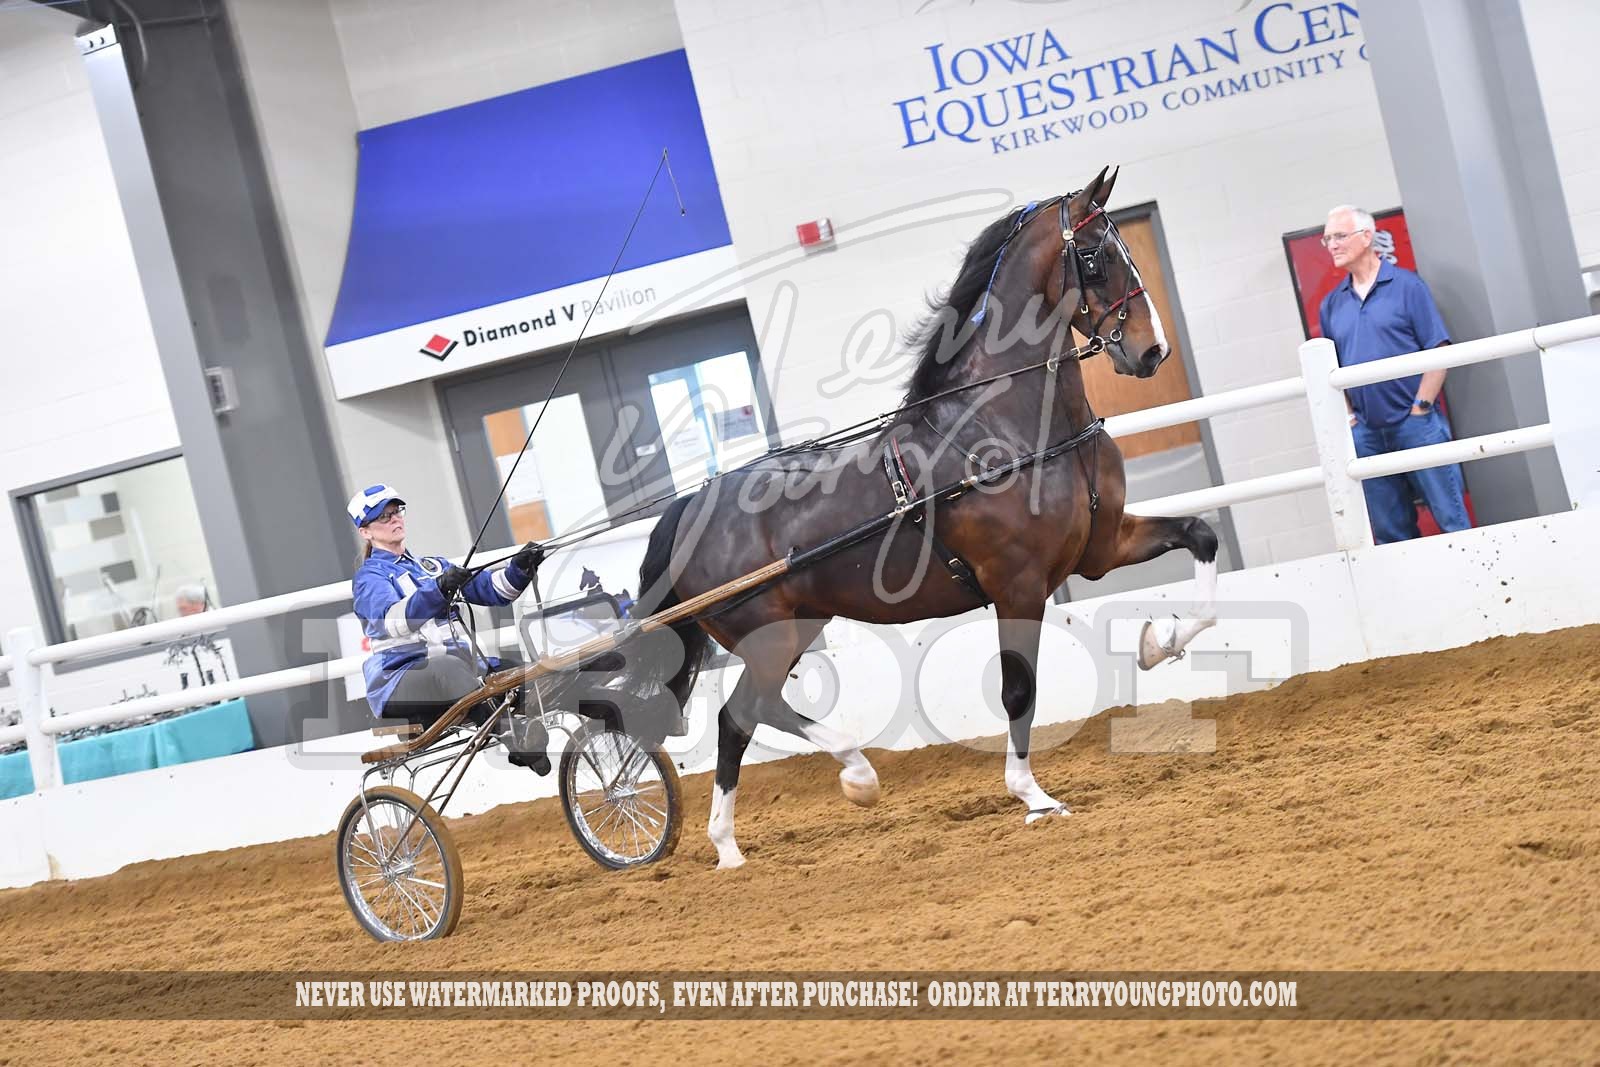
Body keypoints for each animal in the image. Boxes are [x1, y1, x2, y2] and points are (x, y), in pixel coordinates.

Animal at [631, 166, 1219, 868]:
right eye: (1095, 256)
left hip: (797, 625)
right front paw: (1033, 797)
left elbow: (1202, 537)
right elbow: (1018, 689)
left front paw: (1160, 643)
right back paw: (803, 804)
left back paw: (776, 820)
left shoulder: (1100, 551)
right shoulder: (1018, 585)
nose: (1151, 351)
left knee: (746, 716)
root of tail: (692, 505)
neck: (1010, 429)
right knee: (743, 715)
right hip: (767, 635)